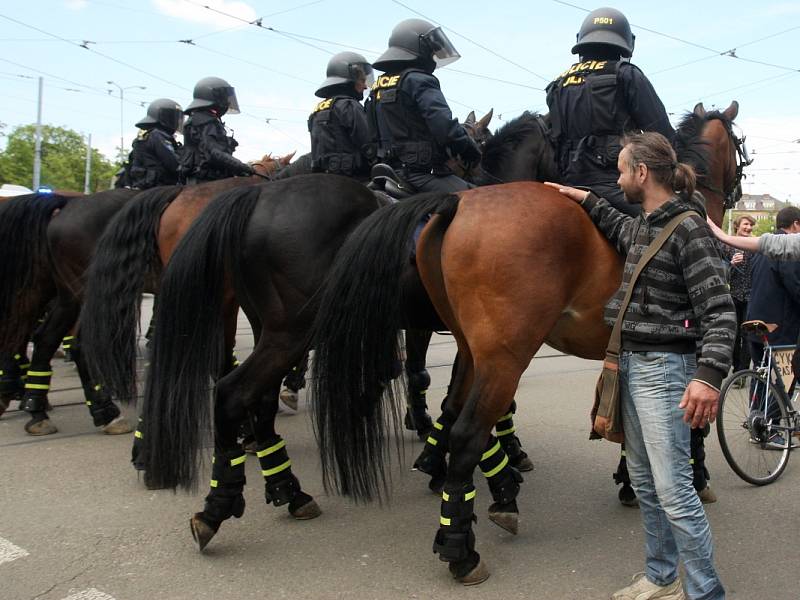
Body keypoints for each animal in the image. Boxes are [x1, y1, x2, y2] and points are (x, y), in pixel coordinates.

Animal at [310, 101, 748, 584]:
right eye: (739, 144)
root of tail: (457, 203)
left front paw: (632, 480)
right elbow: (687, 425)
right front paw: (693, 475)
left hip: (471, 350)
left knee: (450, 407)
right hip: (503, 358)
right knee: (466, 429)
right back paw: (462, 546)